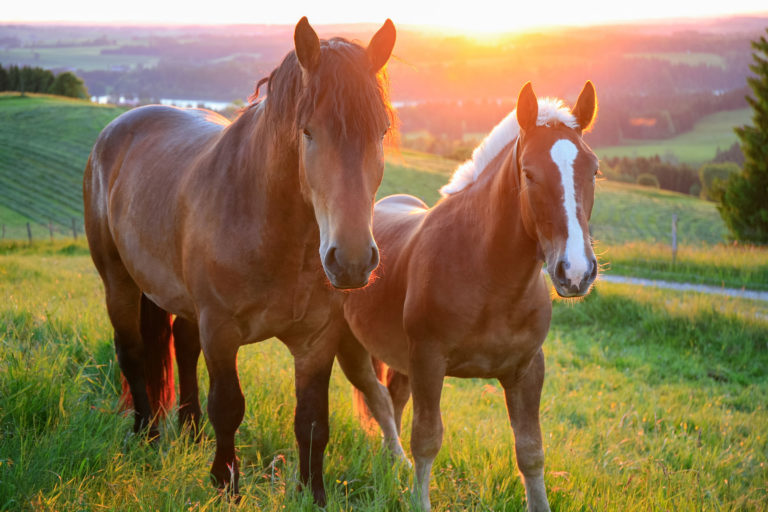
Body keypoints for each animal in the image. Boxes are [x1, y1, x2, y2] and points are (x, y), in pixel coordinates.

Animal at [83, 17, 396, 505]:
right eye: (308, 132)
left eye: (381, 131)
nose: (351, 261)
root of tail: (120, 125)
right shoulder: (221, 329)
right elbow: (228, 407)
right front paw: (225, 484)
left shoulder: (316, 341)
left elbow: (312, 421)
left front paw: (313, 494)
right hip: (119, 282)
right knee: (132, 352)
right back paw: (147, 435)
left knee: (183, 347)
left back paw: (189, 433)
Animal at [334, 81, 599, 511]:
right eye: (529, 173)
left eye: (594, 170)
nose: (575, 271)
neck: (487, 277)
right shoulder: (429, 361)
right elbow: (427, 440)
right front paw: (418, 501)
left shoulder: (527, 370)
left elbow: (531, 451)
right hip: (350, 346)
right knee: (378, 399)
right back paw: (396, 463)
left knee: (393, 398)